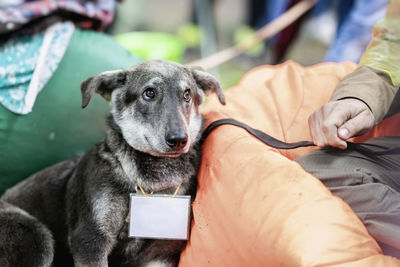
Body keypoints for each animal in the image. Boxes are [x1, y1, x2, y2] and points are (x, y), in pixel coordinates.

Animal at [0, 60, 225, 267]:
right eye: (149, 93)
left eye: (187, 94)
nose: (179, 140)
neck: (151, 186)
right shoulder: (90, 241)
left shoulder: (163, 253)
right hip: (35, 236)